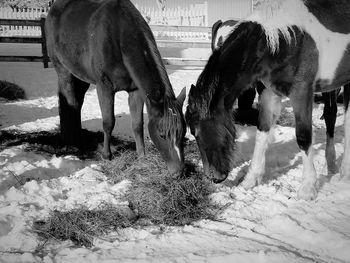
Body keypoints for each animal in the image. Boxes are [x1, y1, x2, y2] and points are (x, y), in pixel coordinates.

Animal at [47, 0, 187, 175]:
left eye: (183, 132)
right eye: (162, 135)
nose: (179, 171)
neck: (119, 37)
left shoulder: (136, 92)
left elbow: (137, 125)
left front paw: (141, 156)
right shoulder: (104, 88)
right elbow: (108, 122)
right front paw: (107, 155)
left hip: (81, 77)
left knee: (77, 103)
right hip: (63, 70)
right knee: (70, 100)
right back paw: (72, 142)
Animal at [187, 0, 350, 200]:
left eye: (196, 133)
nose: (214, 177)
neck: (284, 40)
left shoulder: (302, 92)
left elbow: (303, 137)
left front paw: (308, 188)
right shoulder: (268, 93)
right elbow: (261, 131)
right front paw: (251, 179)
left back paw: (343, 171)